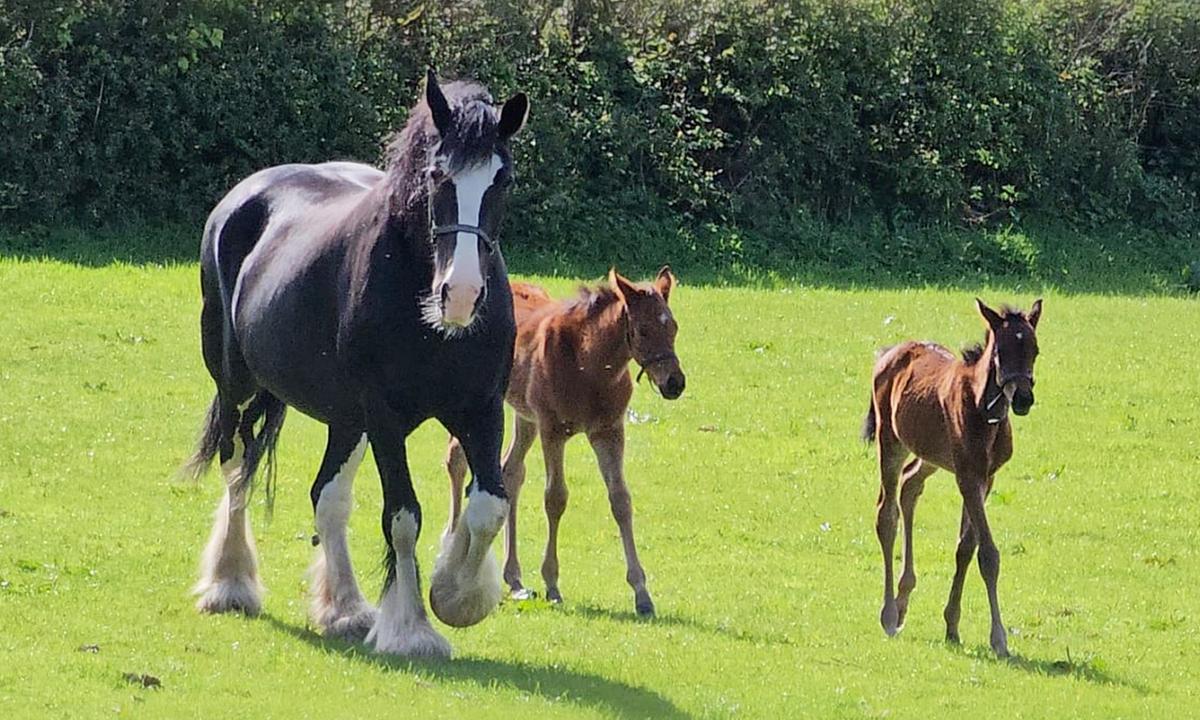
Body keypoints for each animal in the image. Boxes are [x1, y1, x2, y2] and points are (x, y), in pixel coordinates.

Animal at [181, 69, 529, 658]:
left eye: (501, 180)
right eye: (437, 175)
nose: (460, 295)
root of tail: (243, 198)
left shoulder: (481, 408)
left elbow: (488, 506)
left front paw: (456, 594)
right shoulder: (385, 417)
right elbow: (404, 517)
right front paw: (412, 629)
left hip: (346, 419)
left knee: (329, 498)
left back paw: (344, 608)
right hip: (237, 386)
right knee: (237, 467)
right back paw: (231, 583)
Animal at [444, 267, 685, 616]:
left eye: (674, 327)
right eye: (642, 330)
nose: (675, 383)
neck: (589, 364)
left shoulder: (608, 432)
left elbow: (621, 500)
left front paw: (642, 593)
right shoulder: (553, 430)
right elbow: (555, 498)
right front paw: (552, 583)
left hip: (524, 417)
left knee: (510, 472)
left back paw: (514, 577)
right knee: (455, 458)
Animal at [862, 298, 1042, 657]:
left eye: (1035, 349)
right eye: (1000, 350)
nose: (1023, 399)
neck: (984, 411)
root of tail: (887, 353)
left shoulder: (985, 477)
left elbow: (966, 547)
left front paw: (952, 626)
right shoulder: (968, 476)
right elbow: (988, 554)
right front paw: (999, 639)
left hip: (931, 454)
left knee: (910, 484)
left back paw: (903, 600)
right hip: (891, 441)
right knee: (886, 514)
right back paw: (889, 615)